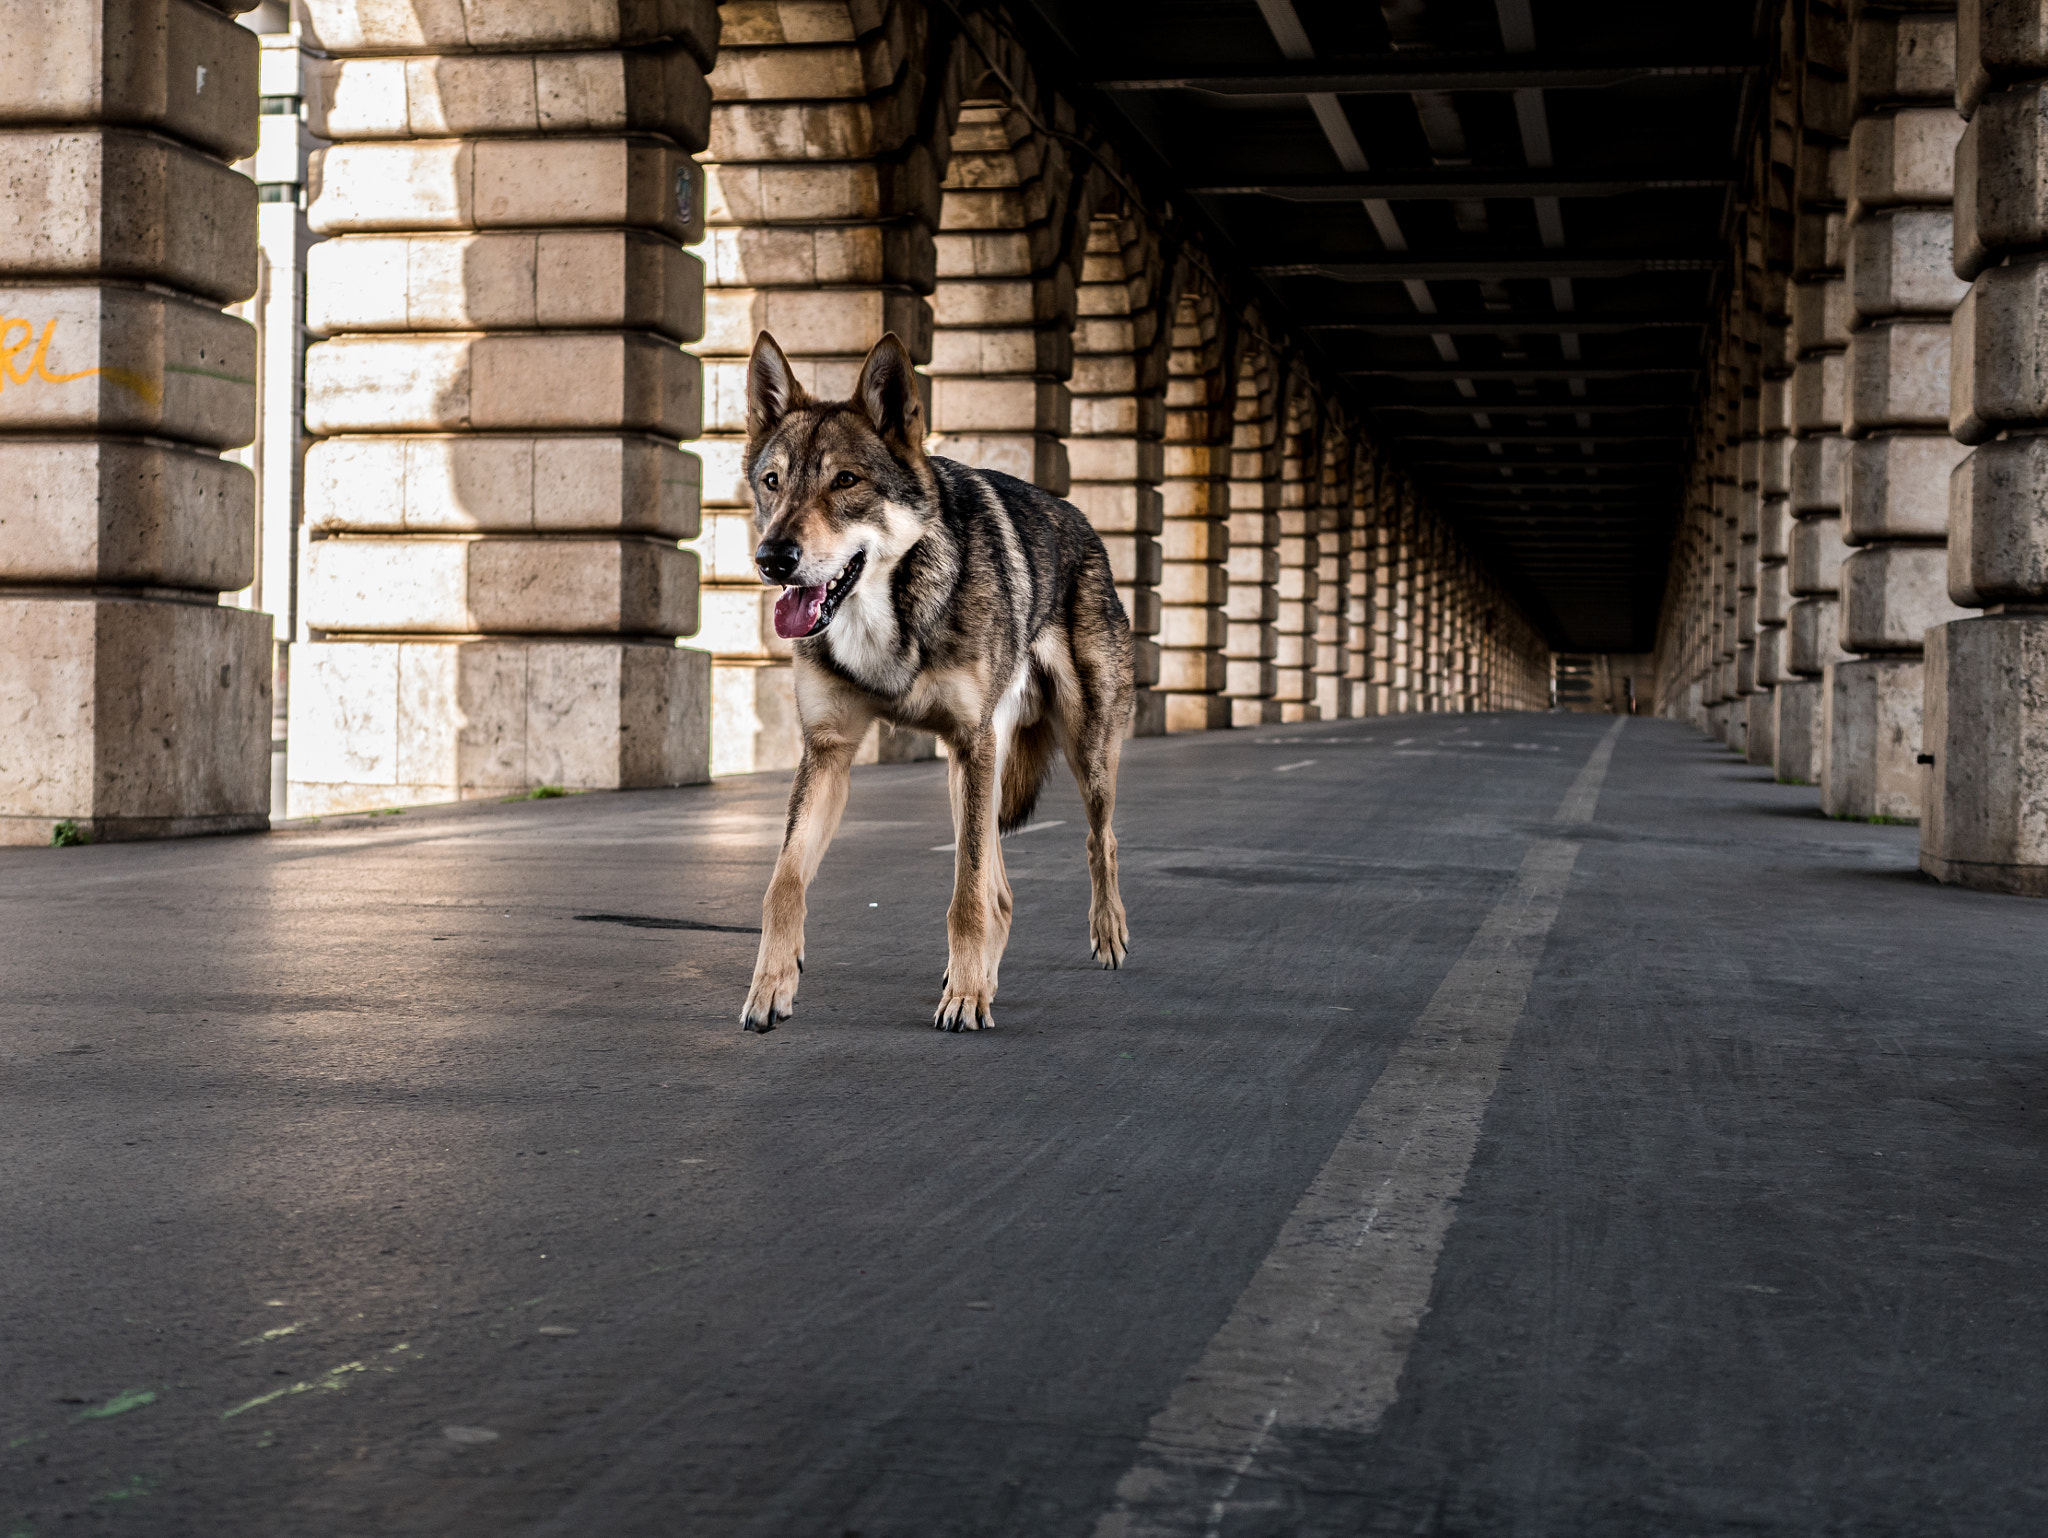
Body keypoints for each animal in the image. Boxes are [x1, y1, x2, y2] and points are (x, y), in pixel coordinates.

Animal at [733, 333, 1130, 1036]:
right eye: (773, 482)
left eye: (845, 481)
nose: (772, 559)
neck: (886, 619)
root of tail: (1083, 520)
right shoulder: (829, 752)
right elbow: (782, 885)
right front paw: (770, 988)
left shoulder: (972, 744)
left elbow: (964, 895)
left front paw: (966, 999)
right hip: (967, 770)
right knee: (1003, 892)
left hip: (1077, 754)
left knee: (1098, 840)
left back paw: (1104, 934)